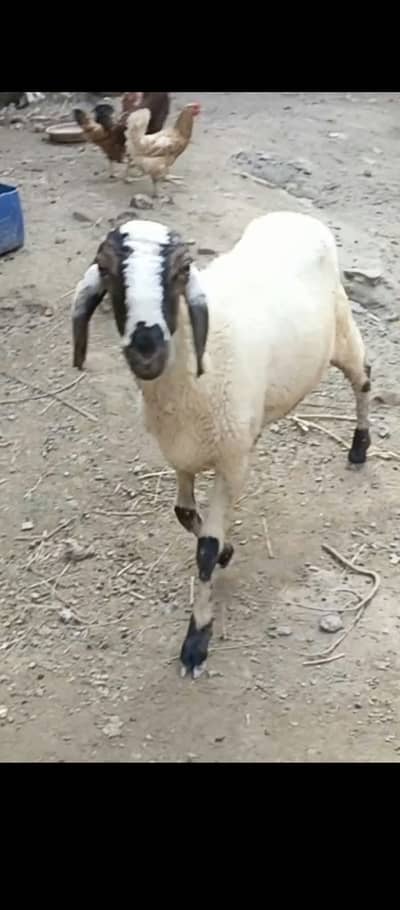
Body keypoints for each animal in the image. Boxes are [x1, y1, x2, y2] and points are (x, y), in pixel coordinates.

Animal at [71, 212, 372, 678]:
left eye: (180, 272)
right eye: (105, 269)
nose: (146, 346)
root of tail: (295, 217)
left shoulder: (230, 464)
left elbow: (205, 550)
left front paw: (197, 639)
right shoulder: (182, 454)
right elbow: (183, 514)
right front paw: (228, 551)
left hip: (342, 333)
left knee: (364, 379)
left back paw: (359, 446)